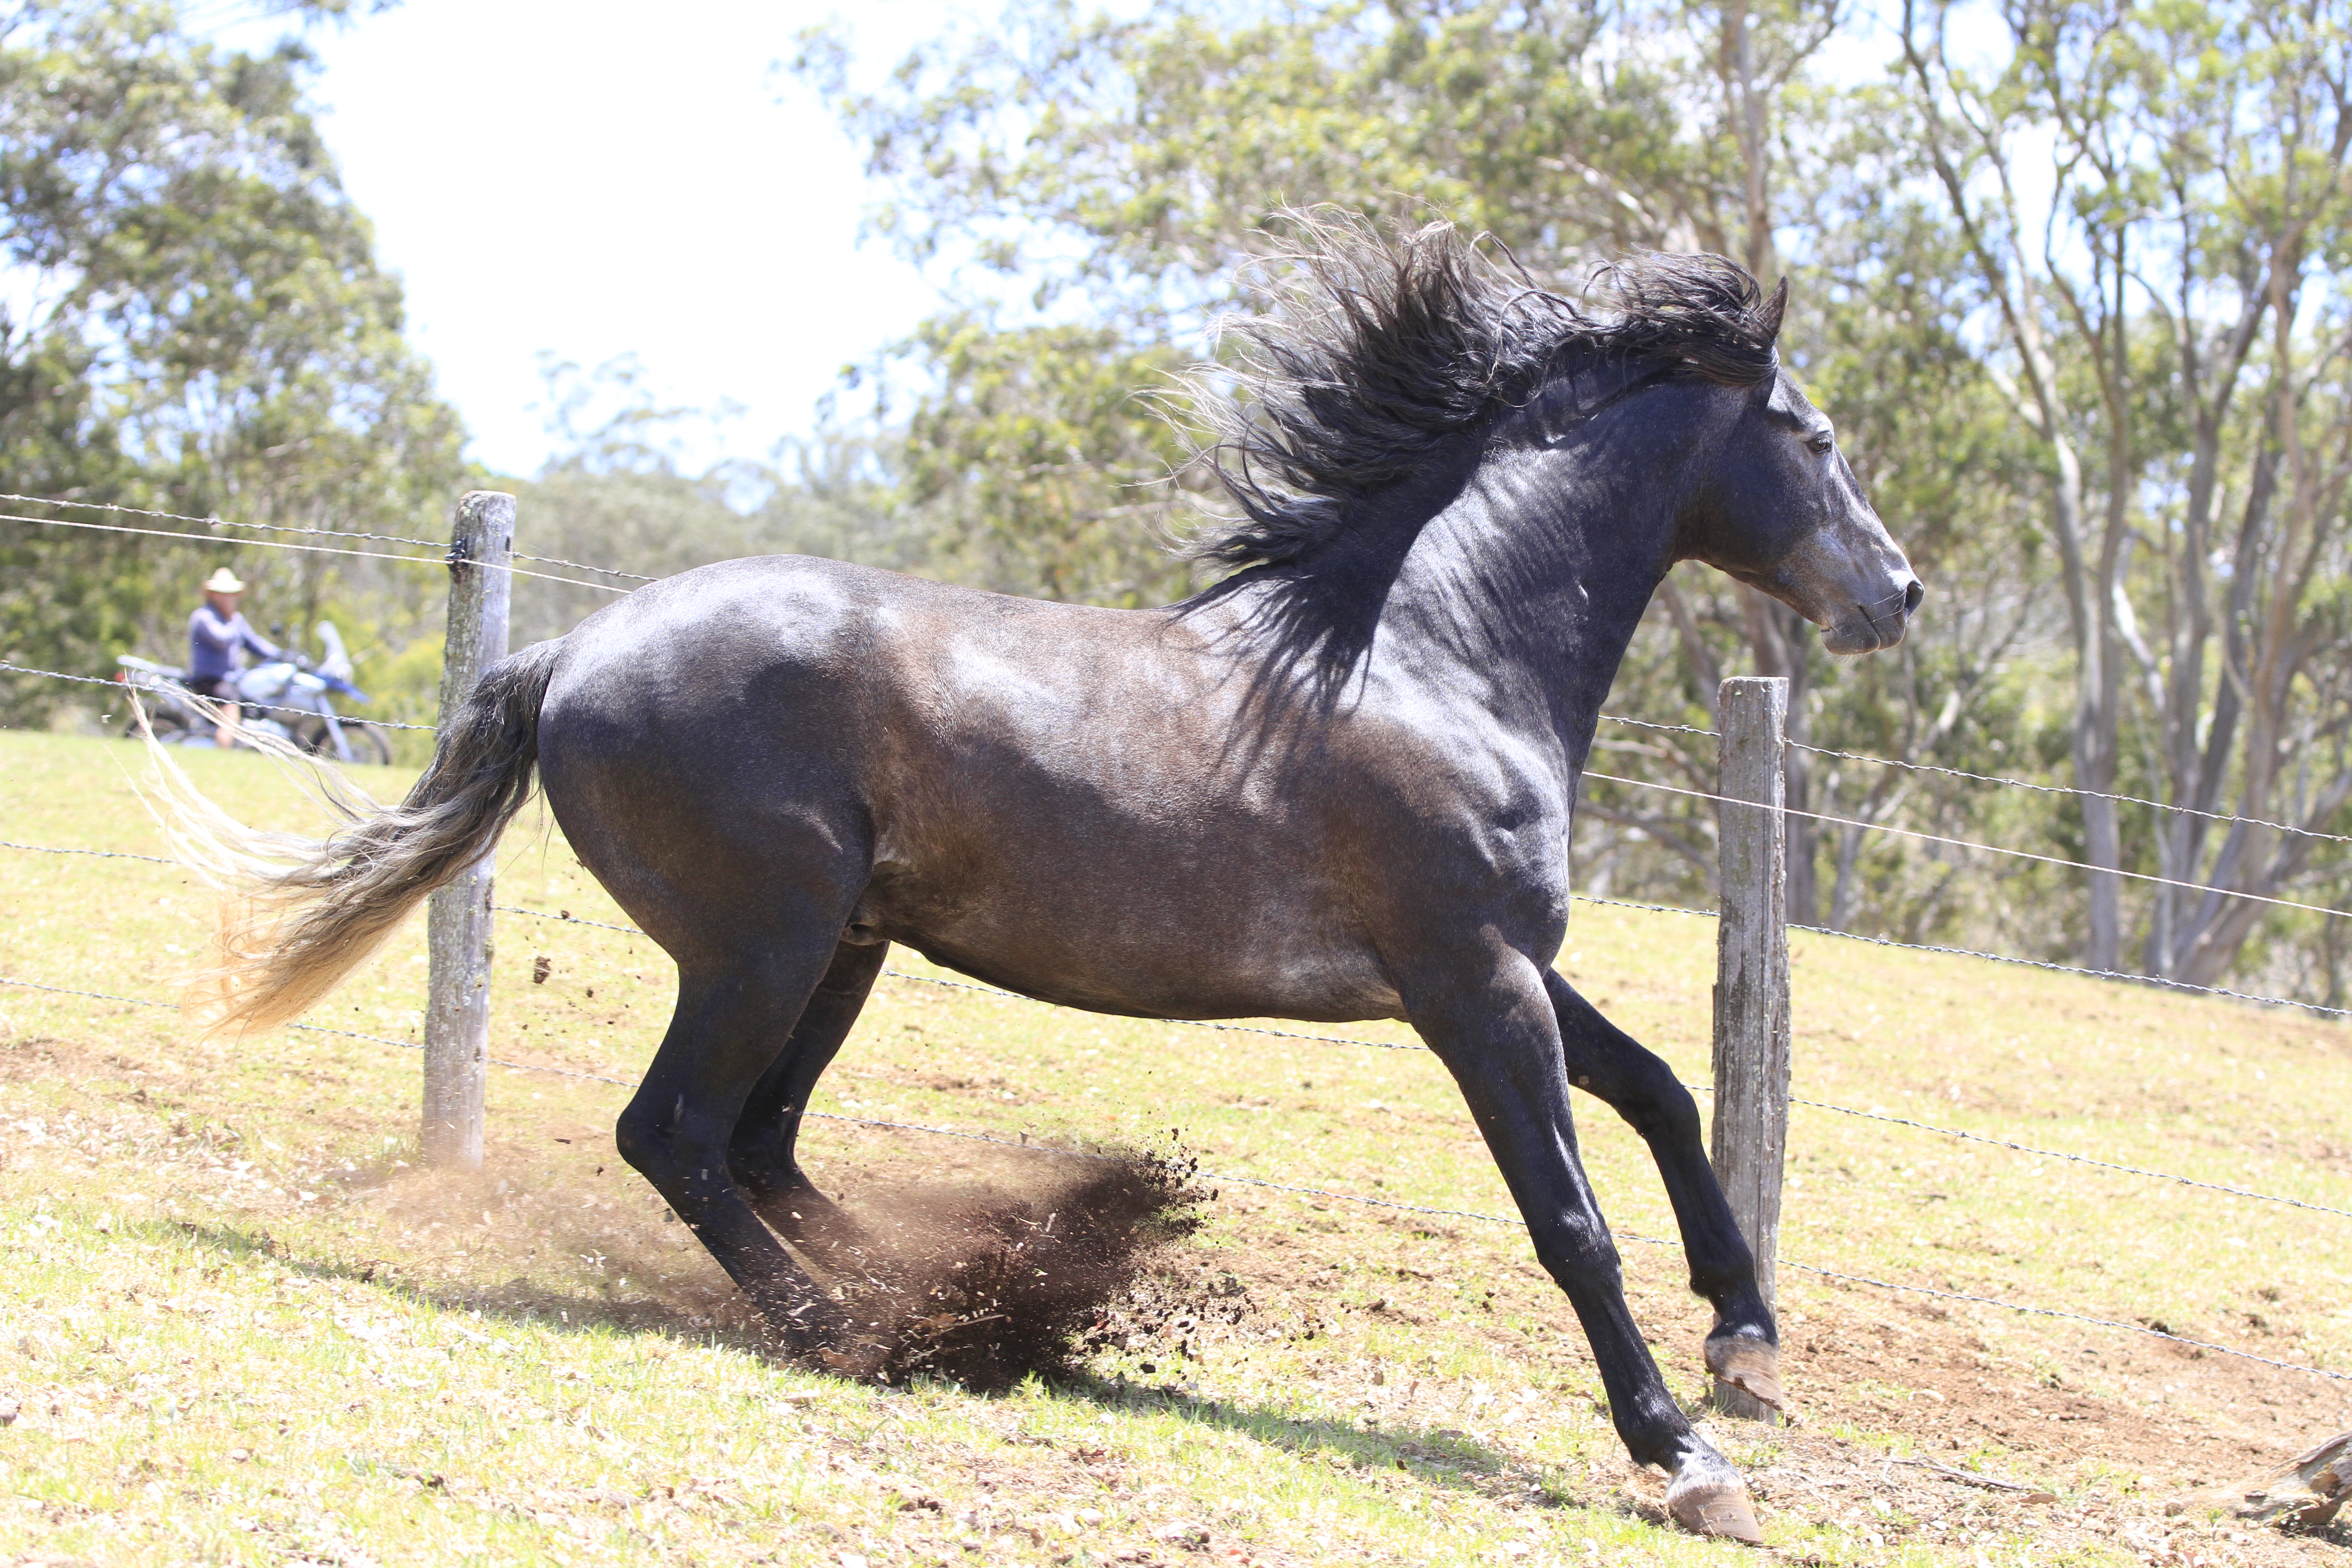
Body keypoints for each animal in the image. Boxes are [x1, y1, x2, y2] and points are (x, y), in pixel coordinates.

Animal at [183, 221, 1910, 1542]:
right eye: (1816, 438)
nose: (1894, 592)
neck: (1431, 658)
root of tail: (569, 652)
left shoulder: (1503, 962)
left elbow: (1664, 1090)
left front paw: (1747, 1340)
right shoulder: (1467, 982)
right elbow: (1569, 1219)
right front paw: (1687, 1457)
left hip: (844, 950)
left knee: (758, 1144)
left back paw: (940, 1298)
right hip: (762, 945)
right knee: (674, 1134)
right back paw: (860, 1330)